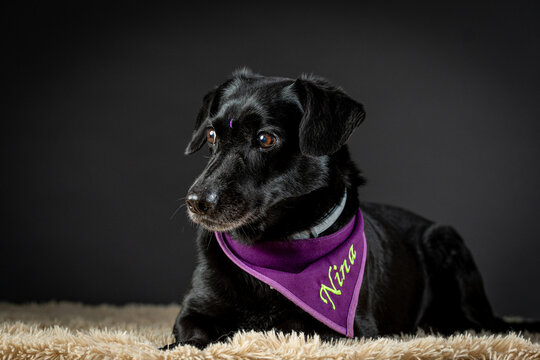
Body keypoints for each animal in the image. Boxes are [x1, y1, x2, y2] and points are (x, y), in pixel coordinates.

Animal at [163, 69, 536, 348]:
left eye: (265, 139)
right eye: (211, 135)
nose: (196, 202)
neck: (270, 248)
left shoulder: (341, 329)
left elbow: (268, 328)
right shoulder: (191, 312)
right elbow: (194, 337)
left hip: (447, 240)